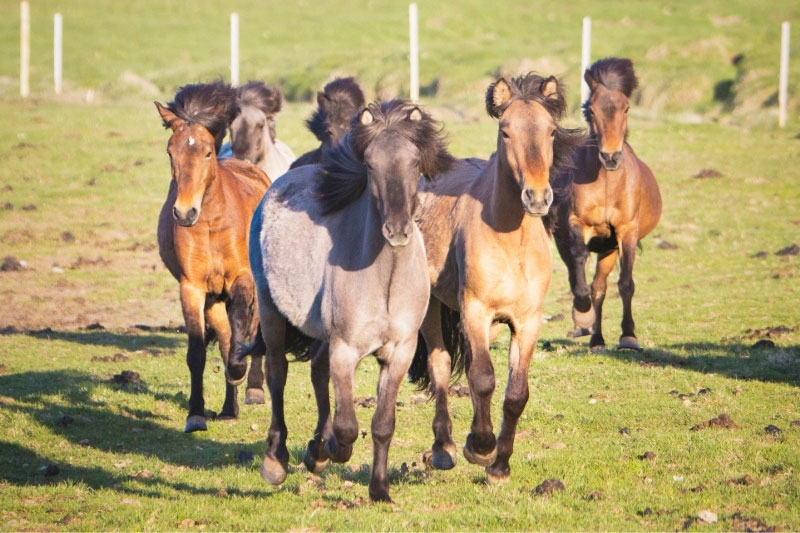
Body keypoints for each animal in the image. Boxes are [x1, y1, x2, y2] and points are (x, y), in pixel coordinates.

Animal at [155, 81, 271, 432]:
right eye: (171, 152)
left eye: (207, 152)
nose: (184, 212)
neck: (210, 224)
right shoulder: (192, 287)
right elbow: (198, 351)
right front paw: (195, 414)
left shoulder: (242, 279)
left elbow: (243, 331)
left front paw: (240, 372)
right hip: (214, 299)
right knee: (224, 338)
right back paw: (230, 408)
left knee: (254, 330)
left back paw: (254, 388)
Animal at [226, 99, 454, 502]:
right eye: (371, 164)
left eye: (415, 163)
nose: (397, 230)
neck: (385, 281)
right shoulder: (345, 349)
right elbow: (348, 425)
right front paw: (334, 448)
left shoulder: (400, 352)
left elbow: (382, 424)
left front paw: (378, 489)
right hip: (271, 313)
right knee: (277, 374)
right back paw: (276, 461)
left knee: (316, 370)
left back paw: (316, 451)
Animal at [408, 73, 585, 484]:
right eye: (506, 131)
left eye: (551, 131)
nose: (537, 197)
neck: (510, 241)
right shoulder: (475, 311)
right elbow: (483, 378)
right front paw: (481, 448)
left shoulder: (527, 322)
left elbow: (514, 392)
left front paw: (499, 465)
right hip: (433, 308)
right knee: (441, 365)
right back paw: (444, 449)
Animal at [552, 58, 662, 351]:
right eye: (591, 109)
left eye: (626, 108)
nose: (611, 156)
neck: (607, 184)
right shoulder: (578, 224)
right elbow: (579, 263)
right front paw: (582, 313)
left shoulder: (626, 231)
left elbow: (625, 283)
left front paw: (629, 336)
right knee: (579, 275)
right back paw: (588, 328)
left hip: (609, 249)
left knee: (600, 287)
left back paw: (598, 338)